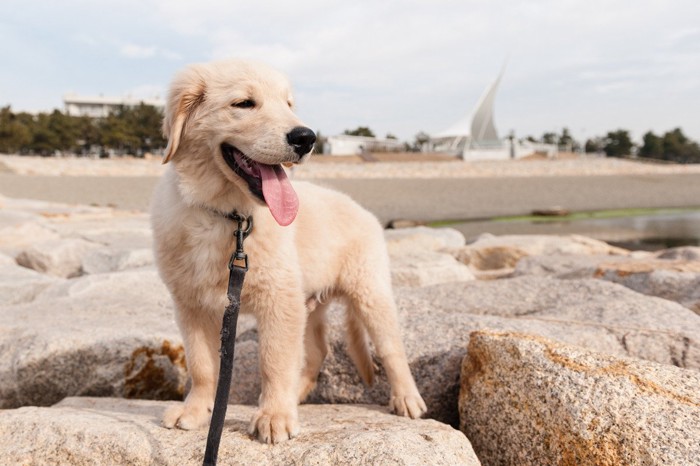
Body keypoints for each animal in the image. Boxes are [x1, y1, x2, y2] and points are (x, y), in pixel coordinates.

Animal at [152, 59, 426, 444]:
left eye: (288, 104)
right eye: (244, 103)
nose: (306, 137)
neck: (230, 217)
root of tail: (363, 209)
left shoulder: (278, 300)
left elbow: (274, 360)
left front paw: (275, 416)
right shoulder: (191, 304)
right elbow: (202, 364)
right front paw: (196, 410)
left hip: (369, 292)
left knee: (390, 349)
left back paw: (406, 398)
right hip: (308, 302)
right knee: (317, 351)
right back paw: (297, 393)